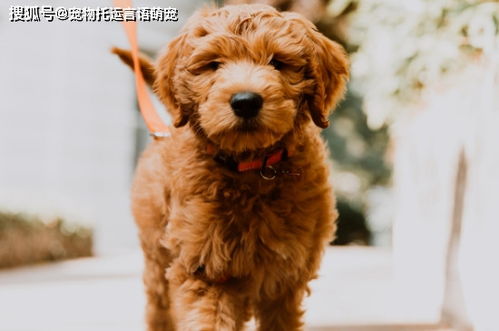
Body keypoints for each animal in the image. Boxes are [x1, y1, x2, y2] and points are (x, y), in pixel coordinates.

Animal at [113, 3, 348, 330]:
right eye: (214, 65)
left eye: (278, 63)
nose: (246, 101)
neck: (251, 166)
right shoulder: (206, 269)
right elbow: (208, 319)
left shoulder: (286, 278)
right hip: (156, 259)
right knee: (158, 308)